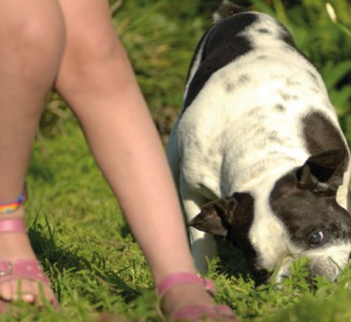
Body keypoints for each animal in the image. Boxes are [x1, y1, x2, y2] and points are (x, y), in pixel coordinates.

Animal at [166, 0, 351, 282]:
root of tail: (236, 13)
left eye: (316, 236)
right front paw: (201, 274)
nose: (298, 276)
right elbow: (200, 237)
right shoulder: (191, 185)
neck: (263, 154)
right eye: (262, 273)